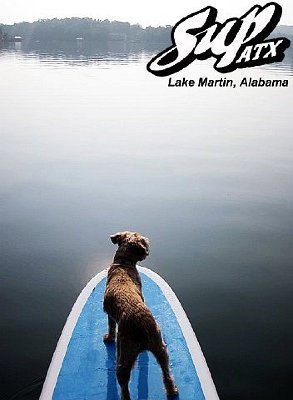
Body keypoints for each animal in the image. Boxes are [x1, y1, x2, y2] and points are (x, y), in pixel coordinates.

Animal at [103, 231, 178, 400]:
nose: (147, 249)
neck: (124, 263)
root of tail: (142, 325)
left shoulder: (109, 314)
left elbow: (111, 327)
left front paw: (109, 338)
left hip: (124, 357)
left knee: (124, 385)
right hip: (161, 348)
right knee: (166, 373)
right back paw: (172, 390)